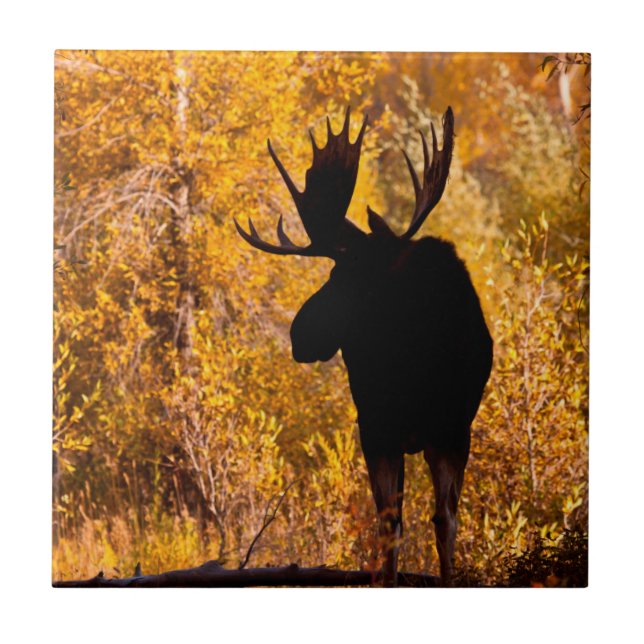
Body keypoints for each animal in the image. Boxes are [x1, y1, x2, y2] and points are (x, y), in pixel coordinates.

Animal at [234, 107, 493, 586]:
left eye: (341, 275)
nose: (298, 334)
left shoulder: (443, 429)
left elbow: (441, 521)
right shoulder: (382, 428)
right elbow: (395, 524)